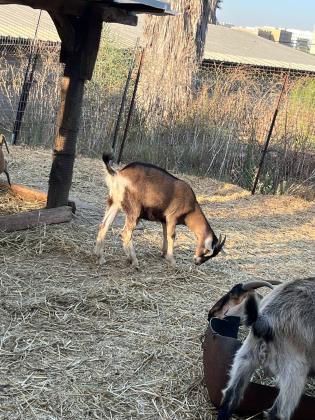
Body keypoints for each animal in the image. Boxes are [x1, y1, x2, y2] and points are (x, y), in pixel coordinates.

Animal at [95, 153, 226, 268]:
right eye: (207, 251)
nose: (197, 262)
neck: (191, 207)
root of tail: (117, 175)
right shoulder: (172, 217)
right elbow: (172, 235)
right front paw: (172, 260)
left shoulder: (164, 220)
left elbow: (165, 234)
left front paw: (163, 253)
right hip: (134, 210)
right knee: (125, 233)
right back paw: (134, 261)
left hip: (114, 204)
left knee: (104, 225)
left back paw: (101, 258)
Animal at [214, 278, 315, 418]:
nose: (211, 313)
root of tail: (265, 320)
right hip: (293, 372)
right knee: (278, 414)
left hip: (246, 356)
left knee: (231, 395)